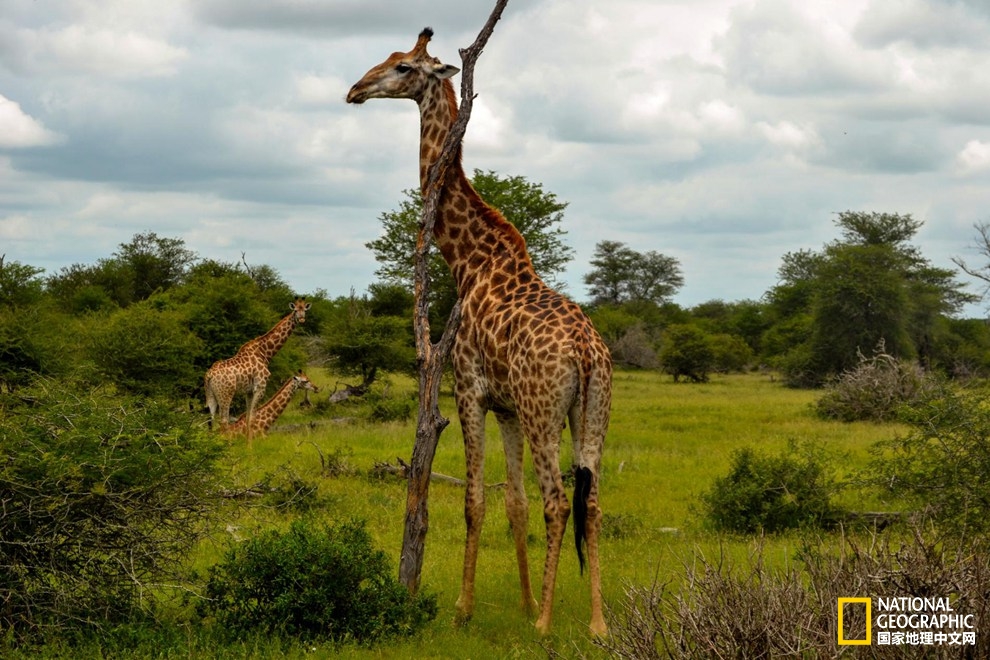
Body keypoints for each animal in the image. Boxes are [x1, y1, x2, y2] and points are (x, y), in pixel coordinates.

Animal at [208, 300, 314, 438]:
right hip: (226, 395)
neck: (265, 351)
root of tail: (209, 375)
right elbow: (252, 418)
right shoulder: (260, 386)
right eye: (295, 310)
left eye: (305, 310)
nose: (301, 319)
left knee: (211, 421)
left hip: (211, 396)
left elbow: (248, 417)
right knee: (223, 421)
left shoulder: (248, 391)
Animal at [348, 28, 612, 636]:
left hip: (545, 412)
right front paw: (521, 601)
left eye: (402, 67)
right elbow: (512, 502)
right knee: (589, 502)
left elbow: (475, 501)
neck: (468, 261)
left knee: (558, 499)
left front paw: (466, 609)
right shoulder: (507, 407)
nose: (354, 90)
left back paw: (546, 625)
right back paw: (597, 624)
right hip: (591, 411)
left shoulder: (468, 390)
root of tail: (588, 353)